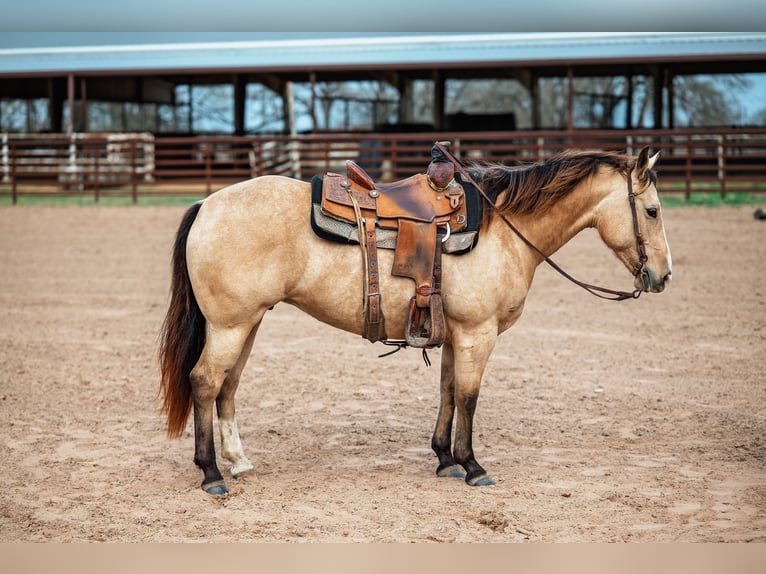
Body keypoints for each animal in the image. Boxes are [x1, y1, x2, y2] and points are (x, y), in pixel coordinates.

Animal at [159, 146, 672, 495]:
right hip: (230, 326)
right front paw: (473, 466)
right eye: (652, 210)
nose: (663, 276)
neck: (503, 230)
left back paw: (238, 461)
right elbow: (468, 397)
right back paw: (211, 473)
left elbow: (447, 391)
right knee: (205, 382)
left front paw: (445, 458)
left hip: (247, 324)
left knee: (228, 386)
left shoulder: (456, 335)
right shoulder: (478, 335)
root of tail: (207, 205)